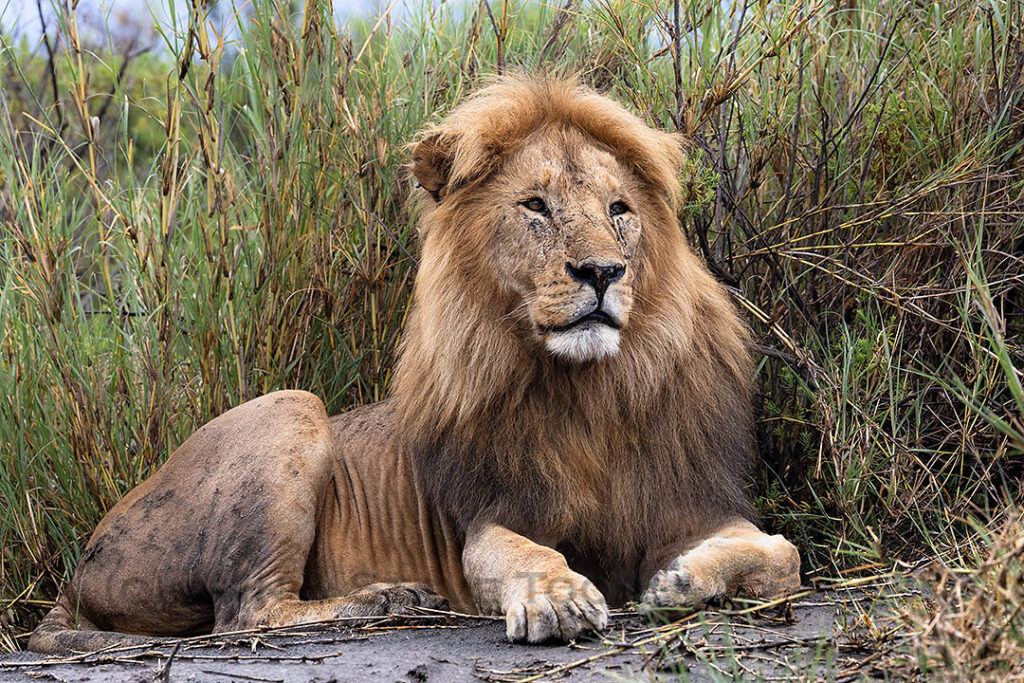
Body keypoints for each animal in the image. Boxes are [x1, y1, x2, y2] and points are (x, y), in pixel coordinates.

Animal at [28, 76, 799, 654]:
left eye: (620, 210)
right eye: (536, 206)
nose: (603, 272)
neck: (591, 396)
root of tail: (74, 572)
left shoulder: (689, 500)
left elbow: (783, 555)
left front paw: (682, 579)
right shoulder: (488, 517)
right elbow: (521, 556)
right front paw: (558, 596)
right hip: (291, 406)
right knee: (246, 611)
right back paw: (384, 599)